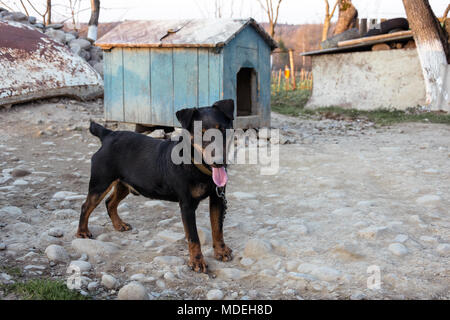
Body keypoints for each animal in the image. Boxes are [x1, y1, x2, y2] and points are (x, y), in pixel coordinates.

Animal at [76, 100, 236, 272]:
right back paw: (82, 232)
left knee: (110, 202)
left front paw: (221, 251)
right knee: (86, 206)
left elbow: (217, 228)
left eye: (223, 130)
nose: (219, 161)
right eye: (200, 133)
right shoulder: (187, 206)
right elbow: (193, 237)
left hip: (123, 184)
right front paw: (197, 261)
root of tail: (108, 135)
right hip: (101, 183)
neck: (196, 165)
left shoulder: (218, 198)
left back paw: (119, 225)